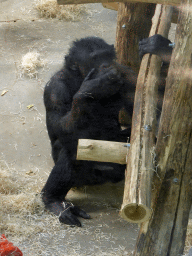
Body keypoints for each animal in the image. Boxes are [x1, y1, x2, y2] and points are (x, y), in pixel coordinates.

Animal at [41, 33, 172, 226]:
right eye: (95, 58)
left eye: (107, 55)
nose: (106, 64)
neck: (79, 77)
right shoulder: (54, 89)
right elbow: (60, 127)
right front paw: (91, 87)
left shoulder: (125, 73)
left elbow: (157, 102)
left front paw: (159, 47)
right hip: (87, 178)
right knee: (73, 150)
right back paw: (54, 200)